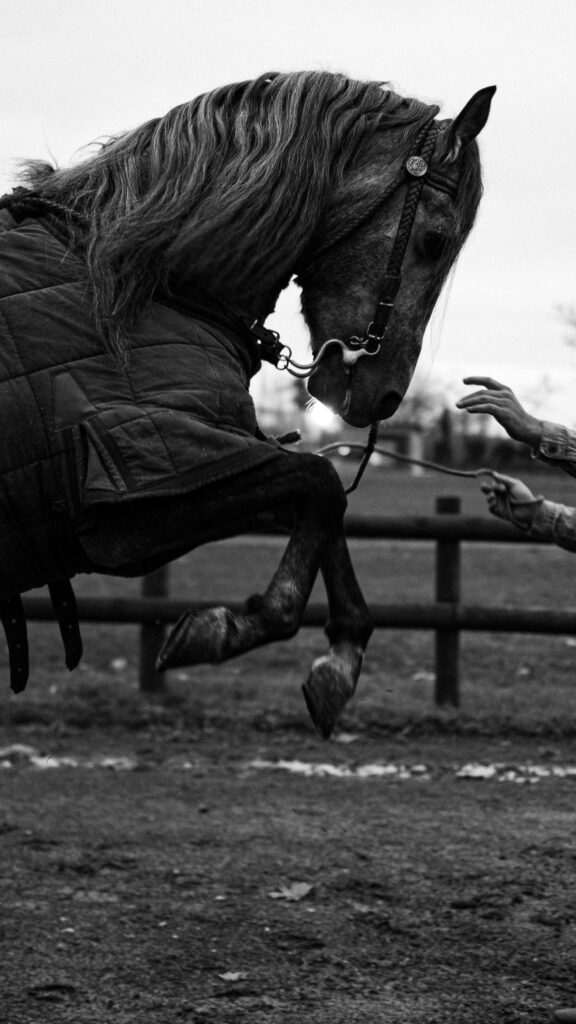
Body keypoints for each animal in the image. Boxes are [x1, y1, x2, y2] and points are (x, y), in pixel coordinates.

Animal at [0, 71, 495, 738]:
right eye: (434, 241)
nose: (385, 395)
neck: (142, 288)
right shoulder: (134, 505)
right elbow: (321, 484)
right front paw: (235, 629)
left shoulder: (217, 467)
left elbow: (323, 503)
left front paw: (340, 657)